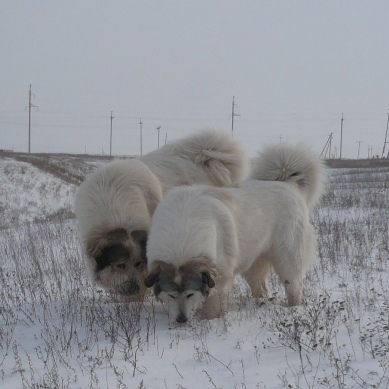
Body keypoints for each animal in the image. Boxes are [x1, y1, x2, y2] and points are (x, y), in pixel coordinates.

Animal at [144, 142, 326, 322]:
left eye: (190, 294)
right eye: (171, 295)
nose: (181, 320)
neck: (183, 231)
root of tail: (289, 185)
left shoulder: (220, 275)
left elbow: (213, 302)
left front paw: (209, 320)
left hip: (287, 258)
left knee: (293, 285)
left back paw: (293, 308)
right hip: (252, 258)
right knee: (259, 284)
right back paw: (261, 301)